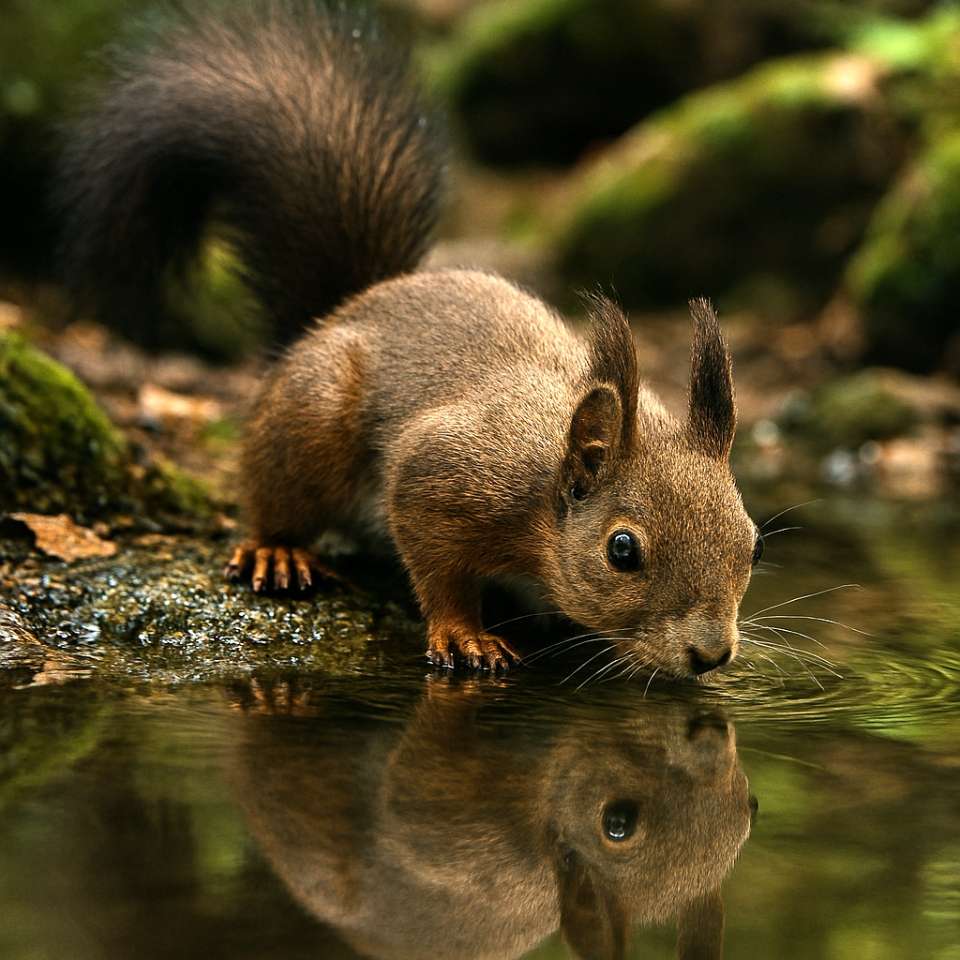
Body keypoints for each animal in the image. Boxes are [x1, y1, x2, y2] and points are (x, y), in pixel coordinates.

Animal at [58, 0, 763, 678]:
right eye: (623, 550)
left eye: (752, 542)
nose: (711, 655)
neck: (544, 495)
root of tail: (339, 312)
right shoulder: (444, 476)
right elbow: (435, 564)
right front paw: (464, 634)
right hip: (313, 417)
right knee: (273, 493)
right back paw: (277, 549)